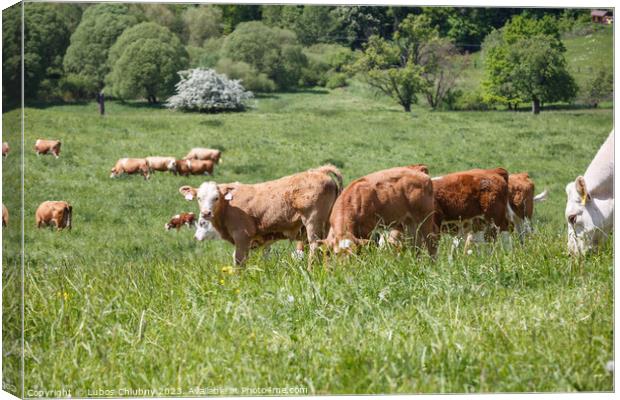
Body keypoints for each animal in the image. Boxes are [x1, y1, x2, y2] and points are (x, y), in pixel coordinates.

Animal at [179, 165, 344, 266]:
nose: (206, 213)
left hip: (313, 222)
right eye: (199, 198)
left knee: (315, 246)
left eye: (216, 197)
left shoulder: (242, 236)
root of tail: (320, 171)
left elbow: (239, 261)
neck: (228, 206)